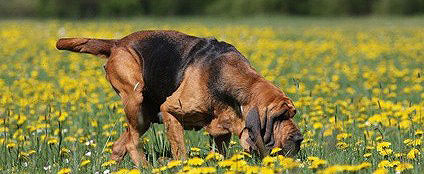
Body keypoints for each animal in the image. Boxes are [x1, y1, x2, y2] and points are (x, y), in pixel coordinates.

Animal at [56, 30, 304, 167]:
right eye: (280, 116)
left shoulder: (222, 132)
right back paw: (146, 166)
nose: (299, 138)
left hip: (144, 115)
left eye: (292, 114)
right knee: (132, 142)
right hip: (135, 100)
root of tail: (117, 42)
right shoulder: (170, 111)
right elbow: (181, 152)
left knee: (121, 144)